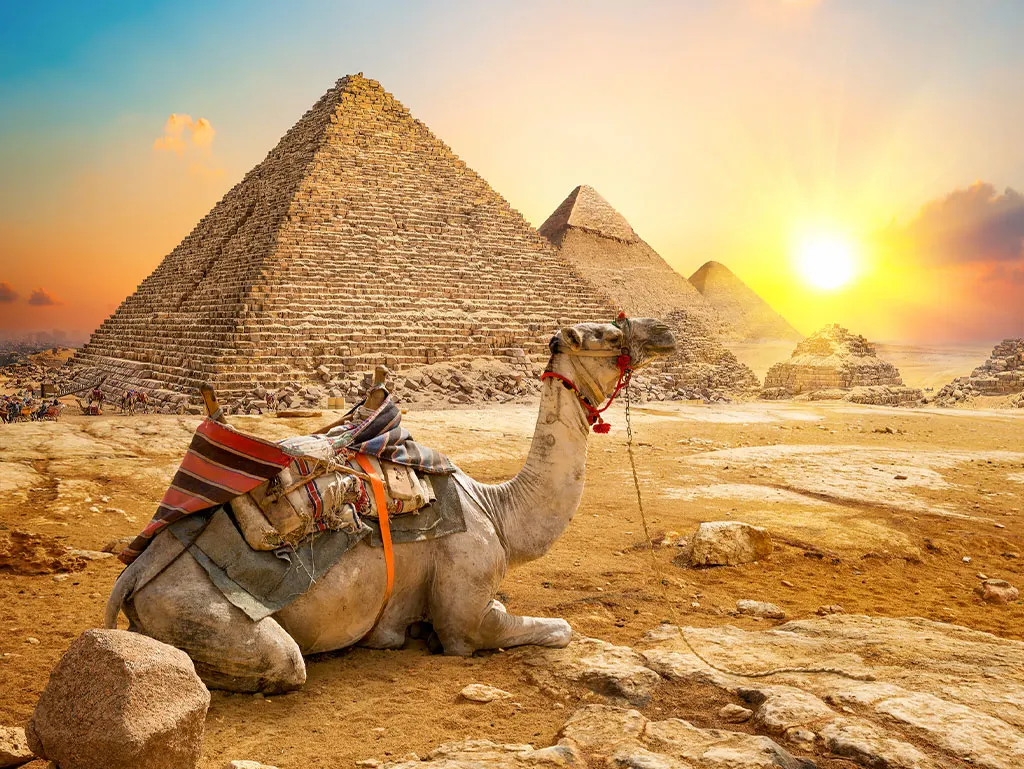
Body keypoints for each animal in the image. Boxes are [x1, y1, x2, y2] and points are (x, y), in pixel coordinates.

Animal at [104, 318, 676, 692]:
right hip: (200, 611)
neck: (499, 510)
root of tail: (133, 574)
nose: (665, 331)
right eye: (610, 336)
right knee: (283, 664)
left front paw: (399, 634)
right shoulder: (465, 612)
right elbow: (554, 629)